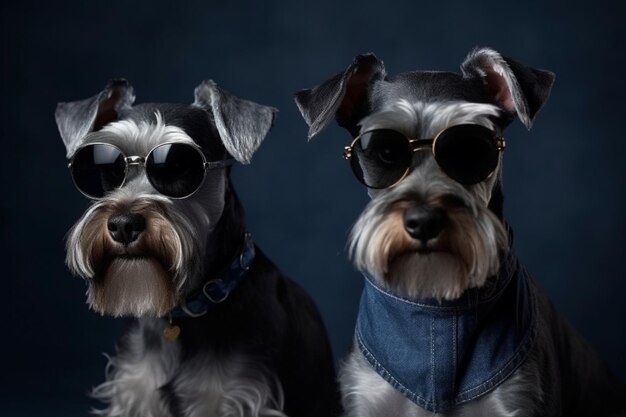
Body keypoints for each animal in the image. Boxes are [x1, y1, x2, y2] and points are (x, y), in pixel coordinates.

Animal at [57, 79, 342, 416]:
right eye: (110, 168)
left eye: (179, 165)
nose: (123, 224)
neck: (183, 312)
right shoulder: (135, 393)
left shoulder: (236, 398)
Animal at [294, 48, 624, 416]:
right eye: (386, 151)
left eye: (469, 149)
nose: (424, 221)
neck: (435, 305)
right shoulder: (367, 400)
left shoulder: (519, 400)